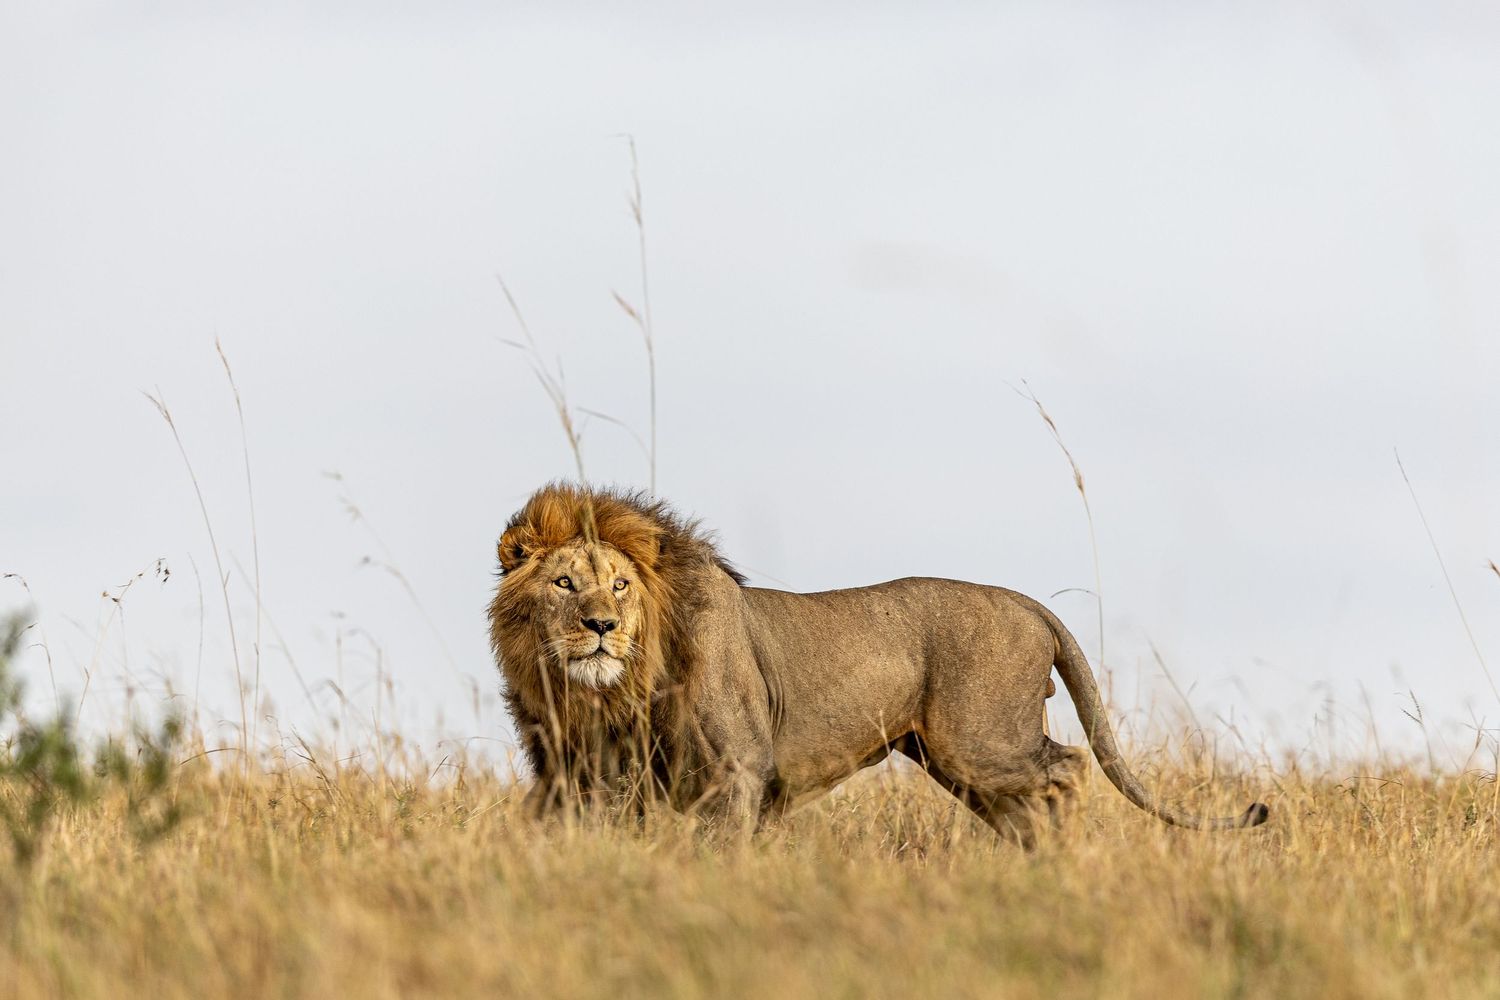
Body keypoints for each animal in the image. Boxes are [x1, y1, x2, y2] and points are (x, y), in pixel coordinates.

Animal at [489, 483, 1268, 845]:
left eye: (620, 585)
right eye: (565, 584)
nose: (600, 626)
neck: (606, 695)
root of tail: (1026, 602)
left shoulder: (736, 770)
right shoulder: (579, 779)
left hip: (978, 739)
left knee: (1069, 769)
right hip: (956, 761)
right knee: (1031, 802)